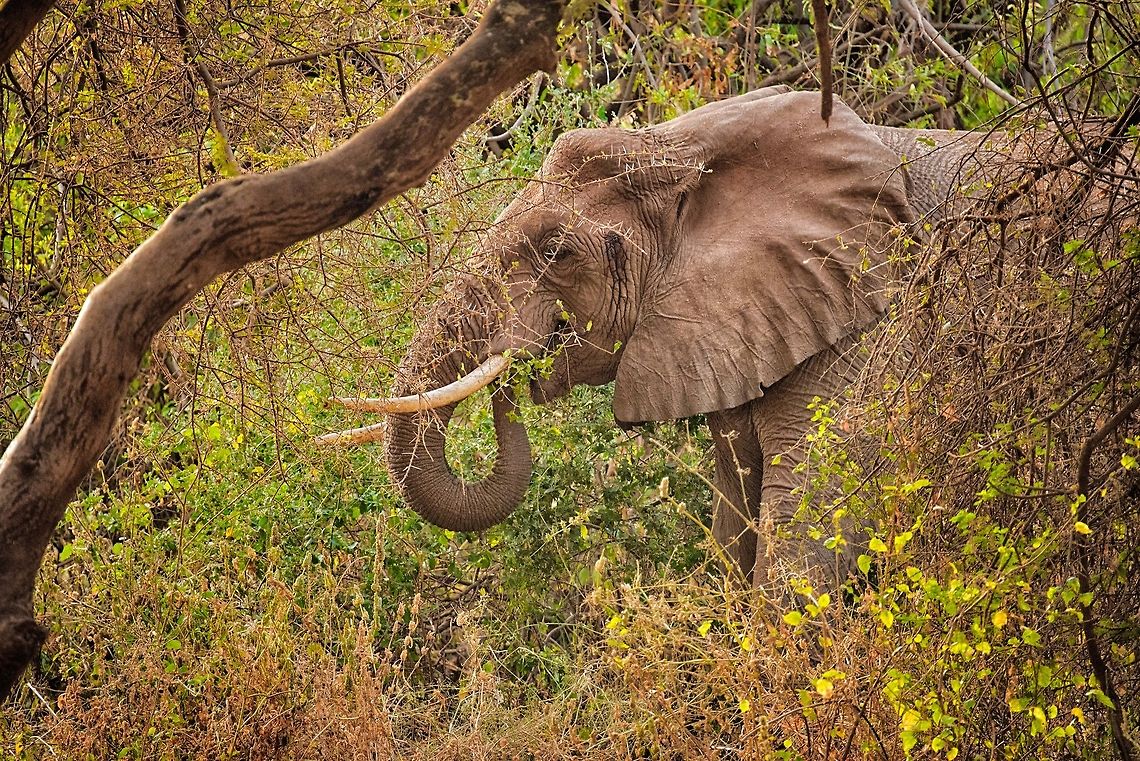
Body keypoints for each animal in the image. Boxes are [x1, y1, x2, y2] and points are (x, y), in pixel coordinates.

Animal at [334, 86, 995, 594]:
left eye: (557, 252)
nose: (517, 370)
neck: (684, 148)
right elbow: (733, 524)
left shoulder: (870, 330)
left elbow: (813, 538)